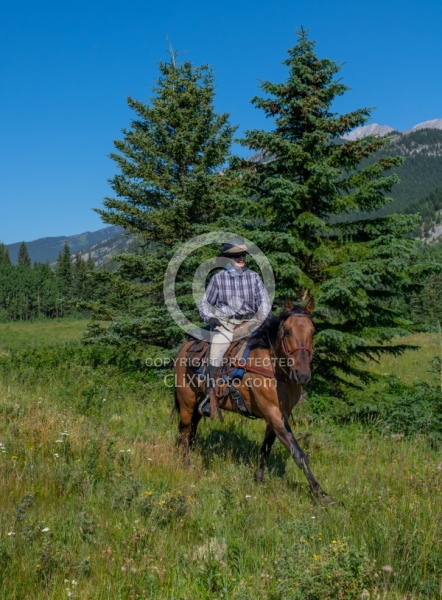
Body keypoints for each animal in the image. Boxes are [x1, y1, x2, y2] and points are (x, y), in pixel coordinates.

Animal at [173, 300, 334, 506]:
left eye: (312, 332)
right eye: (287, 332)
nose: (303, 374)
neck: (274, 368)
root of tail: (185, 346)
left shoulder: (277, 416)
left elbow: (266, 447)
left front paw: (259, 479)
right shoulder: (273, 413)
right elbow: (299, 454)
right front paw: (319, 492)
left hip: (198, 403)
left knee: (192, 428)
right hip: (186, 401)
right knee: (185, 432)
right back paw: (185, 464)